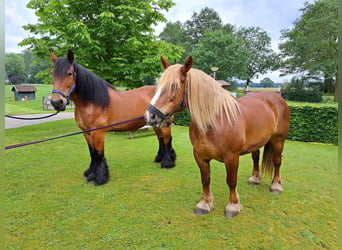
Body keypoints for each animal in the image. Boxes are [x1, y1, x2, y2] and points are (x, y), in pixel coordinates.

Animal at [50, 49, 176, 185]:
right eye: (52, 73)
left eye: (69, 74)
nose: (57, 102)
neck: (91, 102)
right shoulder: (86, 132)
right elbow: (92, 152)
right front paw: (90, 172)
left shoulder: (98, 132)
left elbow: (99, 153)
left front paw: (99, 178)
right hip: (156, 124)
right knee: (161, 140)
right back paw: (160, 158)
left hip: (165, 124)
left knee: (167, 140)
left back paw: (168, 163)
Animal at [146, 56, 290, 217]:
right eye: (158, 86)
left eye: (175, 86)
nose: (150, 116)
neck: (215, 121)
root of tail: (276, 98)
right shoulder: (200, 156)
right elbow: (205, 179)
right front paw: (205, 204)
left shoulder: (232, 157)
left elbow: (231, 181)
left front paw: (233, 206)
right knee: (256, 157)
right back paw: (255, 179)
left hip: (279, 140)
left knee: (277, 161)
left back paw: (276, 186)